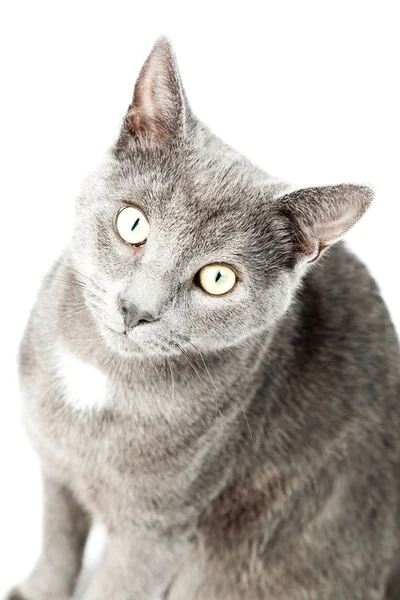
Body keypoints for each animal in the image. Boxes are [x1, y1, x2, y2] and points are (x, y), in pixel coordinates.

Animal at [6, 37, 400, 600]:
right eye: (133, 223)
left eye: (218, 279)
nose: (137, 308)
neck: (99, 376)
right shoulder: (55, 468)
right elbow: (58, 542)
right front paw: (38, 588)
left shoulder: (156, 532)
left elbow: (117, 585)